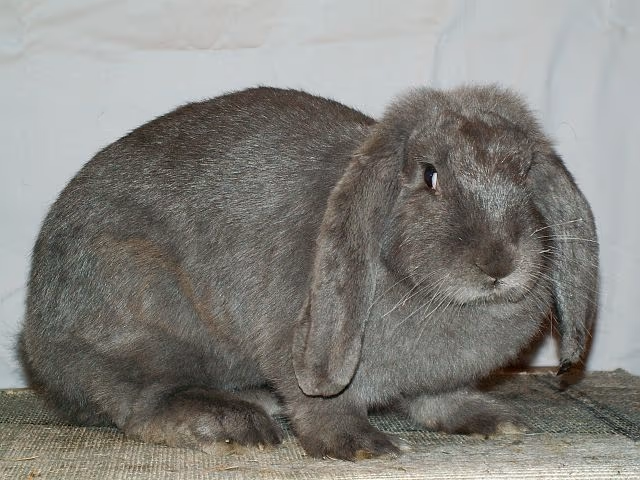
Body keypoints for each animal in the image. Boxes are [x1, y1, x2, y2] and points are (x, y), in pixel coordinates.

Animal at [18, 85, 599, 460]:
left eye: (525, 172)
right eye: (430, 176)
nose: (500, 262)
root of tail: (35, 336)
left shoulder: (440, 380)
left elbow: (441, 397)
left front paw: (493, 421)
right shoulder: (294, 342)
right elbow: (316, 402)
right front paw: (363, 447)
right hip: (143, 306)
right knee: (139, 401)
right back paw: (234, 421)